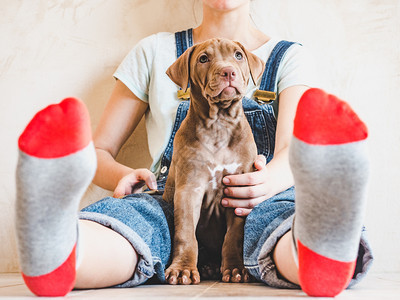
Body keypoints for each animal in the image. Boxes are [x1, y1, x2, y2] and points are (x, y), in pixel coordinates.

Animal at [164, 38, 264, 284]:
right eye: (203, 59)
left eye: (238, 55)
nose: (228, 71)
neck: (219, 123)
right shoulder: (189, 189)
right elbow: (185, 233)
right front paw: (182, 269)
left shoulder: (238, 190)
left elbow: (234, 235)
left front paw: (236, 268)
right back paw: (207, 266)